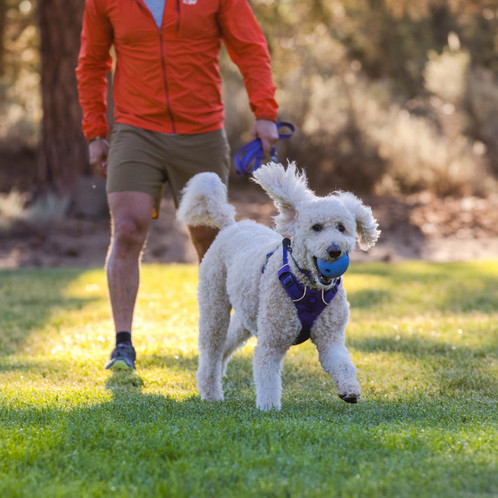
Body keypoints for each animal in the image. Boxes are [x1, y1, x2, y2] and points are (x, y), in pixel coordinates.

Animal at [177, 163, 380, 412]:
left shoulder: (330, 337)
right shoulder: (271, 341)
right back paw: (210, 392)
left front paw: (350, 390)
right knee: (211, 349)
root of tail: (231, 226)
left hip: (249, 315)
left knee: (227, 342)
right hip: (214, 304)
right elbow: (267, 376)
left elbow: (343, 364)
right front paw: (269, 408)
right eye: (316, 227)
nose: (335, 250)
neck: (309, 289)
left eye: (342, 228)